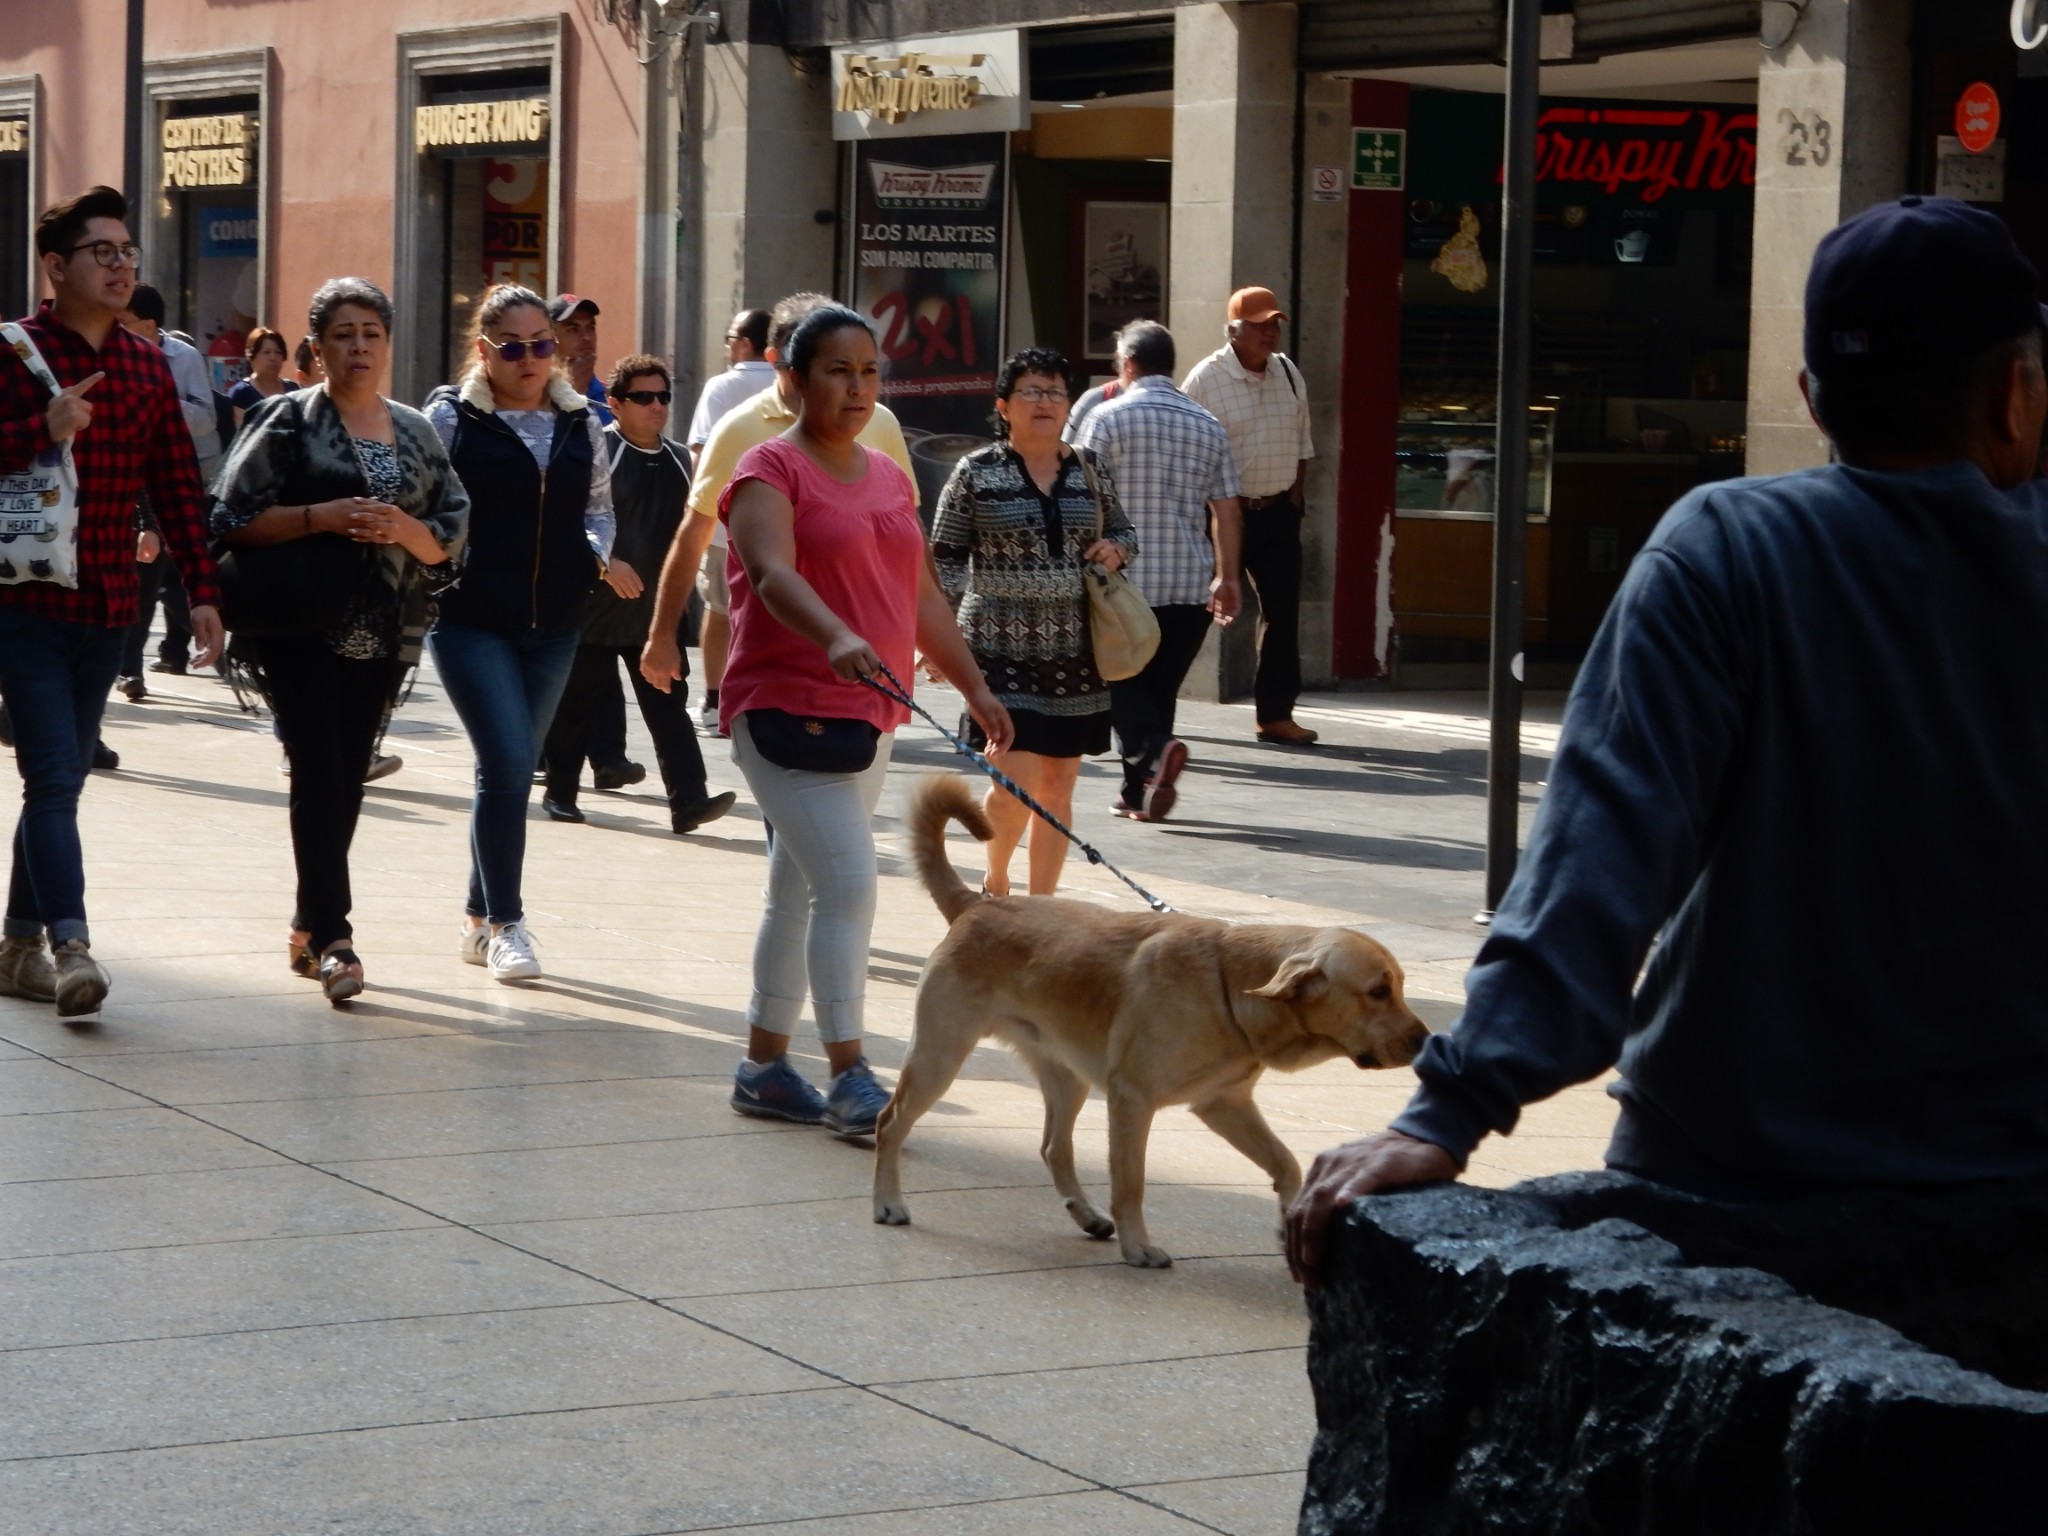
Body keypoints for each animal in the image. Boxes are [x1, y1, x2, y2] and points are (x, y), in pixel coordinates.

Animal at [872, 782, 1433, 1277]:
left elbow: (1286, 1163)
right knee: (890, 1122)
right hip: (940, 1056)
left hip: (1067, 1077)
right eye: (1378, 991)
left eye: (1400, 986)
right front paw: (1137, 1247)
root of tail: (976, 905)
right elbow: (1132, 1184)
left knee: (1054, 1147)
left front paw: (1289, 1220)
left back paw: (1087, 1215)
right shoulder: (1132, 1101)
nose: (1427, 1042)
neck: (1227, 983)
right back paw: (888, 1202)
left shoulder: (1224, 1104)